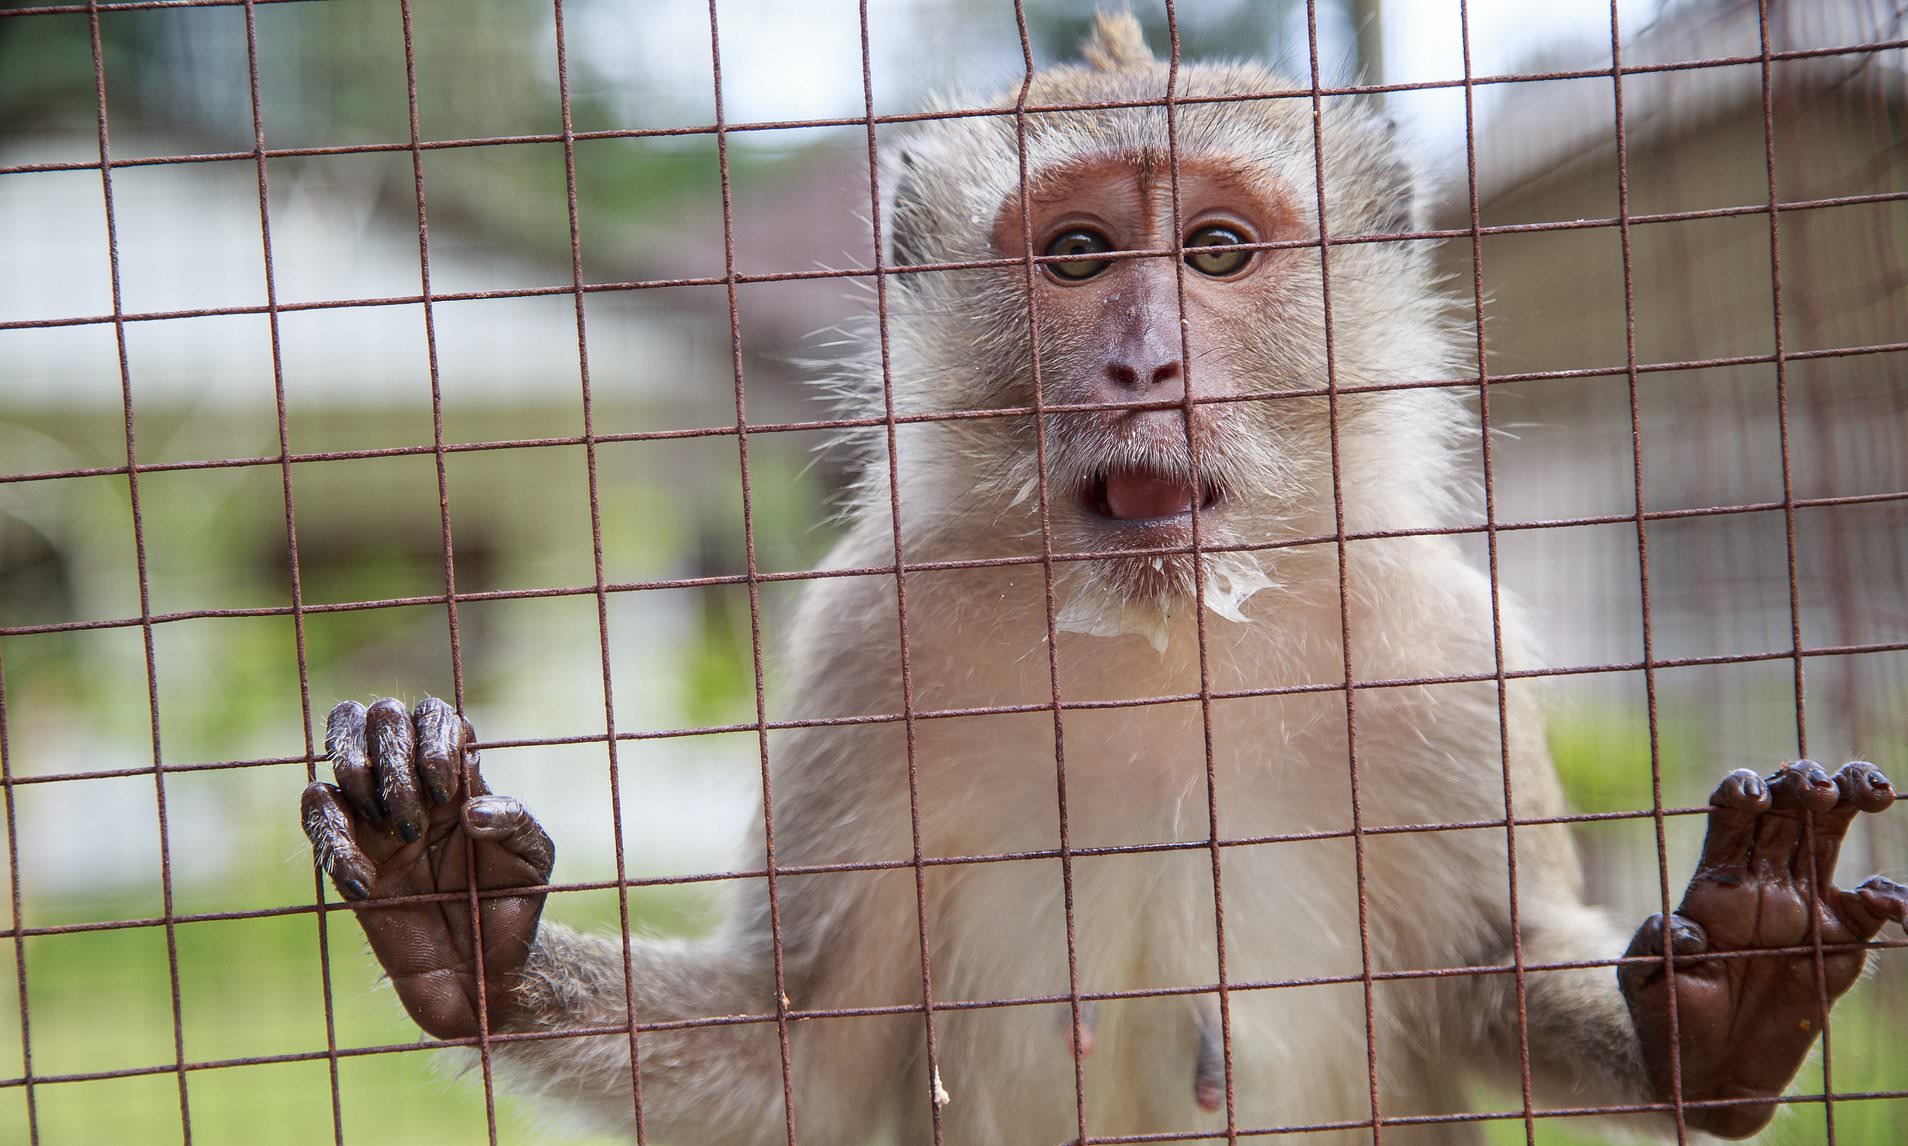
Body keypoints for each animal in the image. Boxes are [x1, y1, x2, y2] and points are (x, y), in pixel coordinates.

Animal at [301, 15, 1908, 1144]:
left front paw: (1724, 1012)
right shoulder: (865, 640)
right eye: (1078, 255)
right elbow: (790, 1050)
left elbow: (1491, 981)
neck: (1161, 635)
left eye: (1215, 250)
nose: (1150, 363)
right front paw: (463, 928)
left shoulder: (1445, 646)